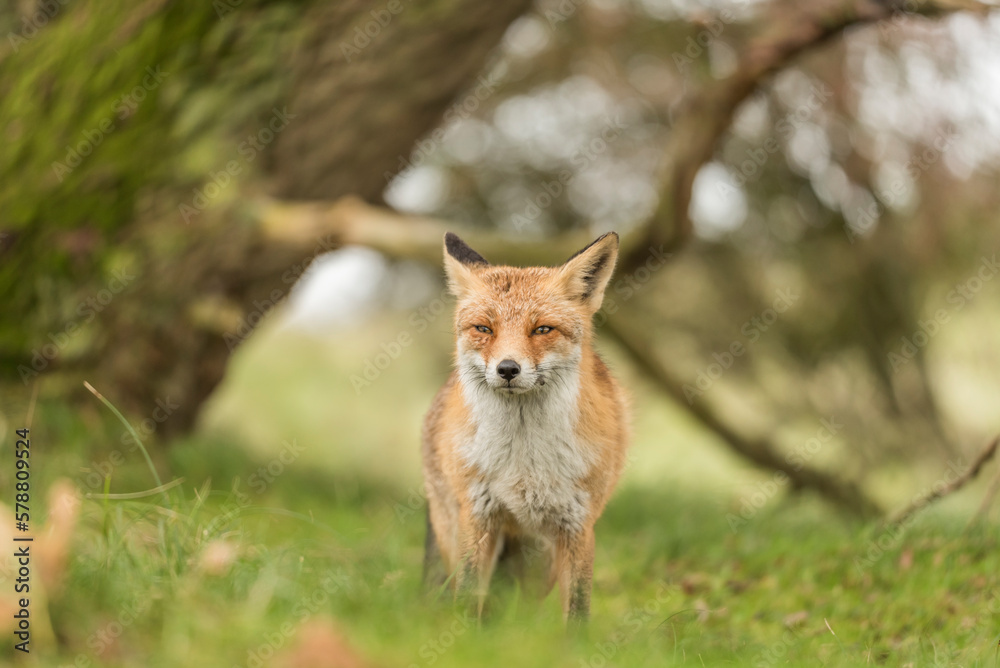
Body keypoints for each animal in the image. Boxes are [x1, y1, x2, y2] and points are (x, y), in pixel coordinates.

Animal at [421, 231, 630, 623]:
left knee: (521, 611)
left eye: (542, 329)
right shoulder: (479, 518)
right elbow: (469, 597)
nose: (507, 369)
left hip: (539, 560)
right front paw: (464, 637)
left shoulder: (578, 526)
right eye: (484, 329)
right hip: (454, 533)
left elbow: (578, 611)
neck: (524, 460)